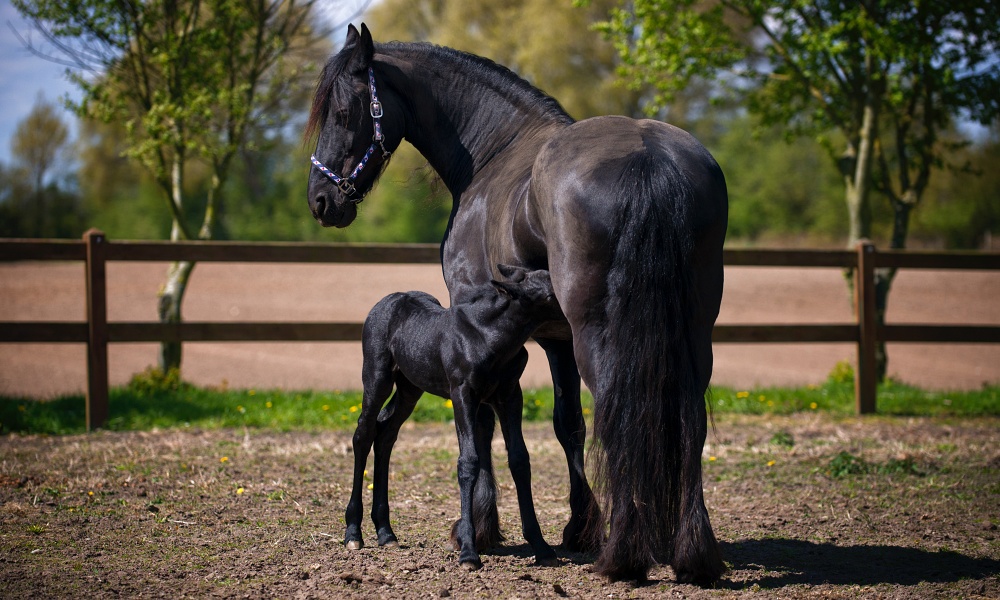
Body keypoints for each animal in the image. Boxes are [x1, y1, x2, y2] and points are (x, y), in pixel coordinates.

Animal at [344, 264, 564, 568]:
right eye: (550, 292)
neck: (488, 337)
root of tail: (386, 301)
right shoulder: (462, 393)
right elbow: (468, 462)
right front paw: (469, 552)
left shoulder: (510, 395)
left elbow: (520, 460)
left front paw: (541, 546)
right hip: (377, 377)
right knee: (363, 434)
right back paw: (353, 532)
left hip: (410, 387)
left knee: (385, 433)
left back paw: (386, 532)